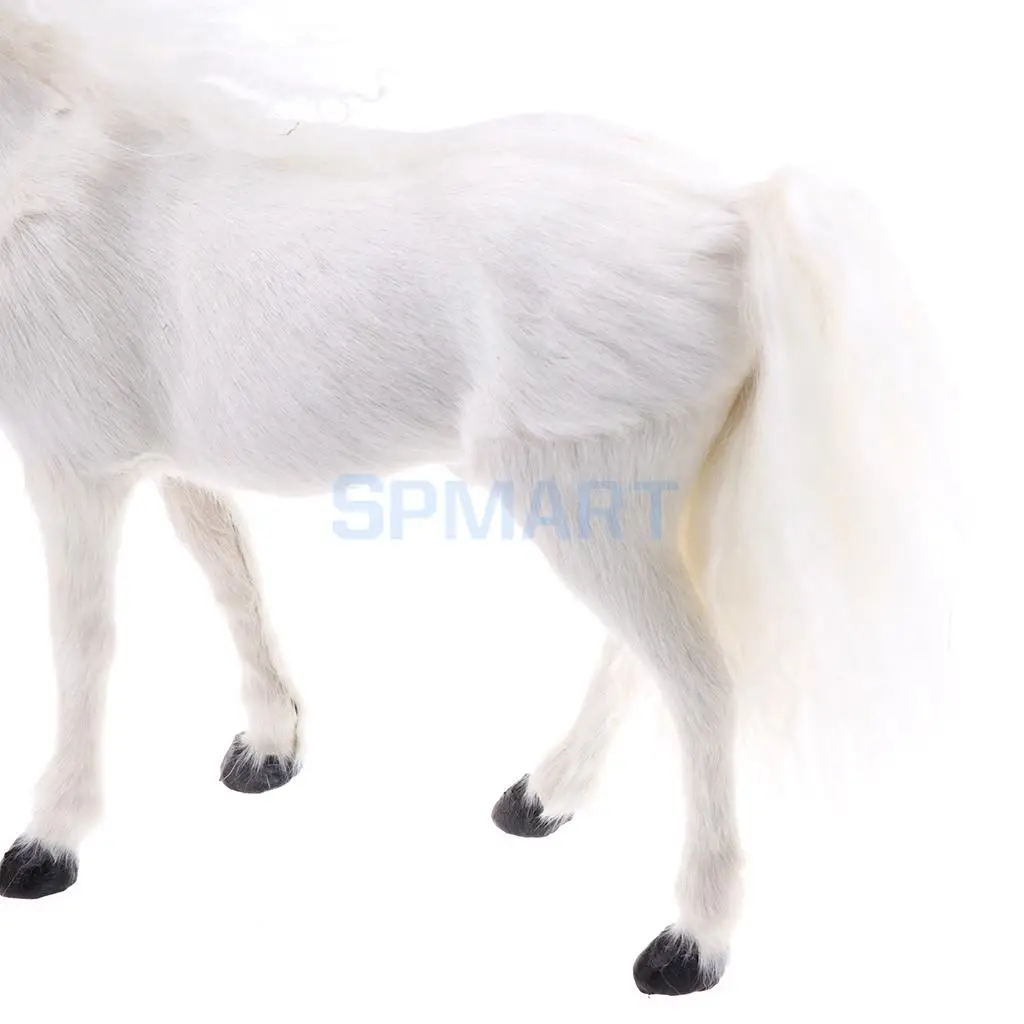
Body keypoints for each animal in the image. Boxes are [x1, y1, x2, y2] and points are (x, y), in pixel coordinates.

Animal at [0, 0, 949, 997]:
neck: (51, 168)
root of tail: (730, 220)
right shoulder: (164, 457)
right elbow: (231, 574)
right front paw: (271, 745)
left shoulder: (72, 467)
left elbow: (83, 644)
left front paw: (50, 842)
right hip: (622, 508)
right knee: (642, 653)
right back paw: (544, 796)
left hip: (576, 498)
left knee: (701, 685)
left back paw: (690, 942)